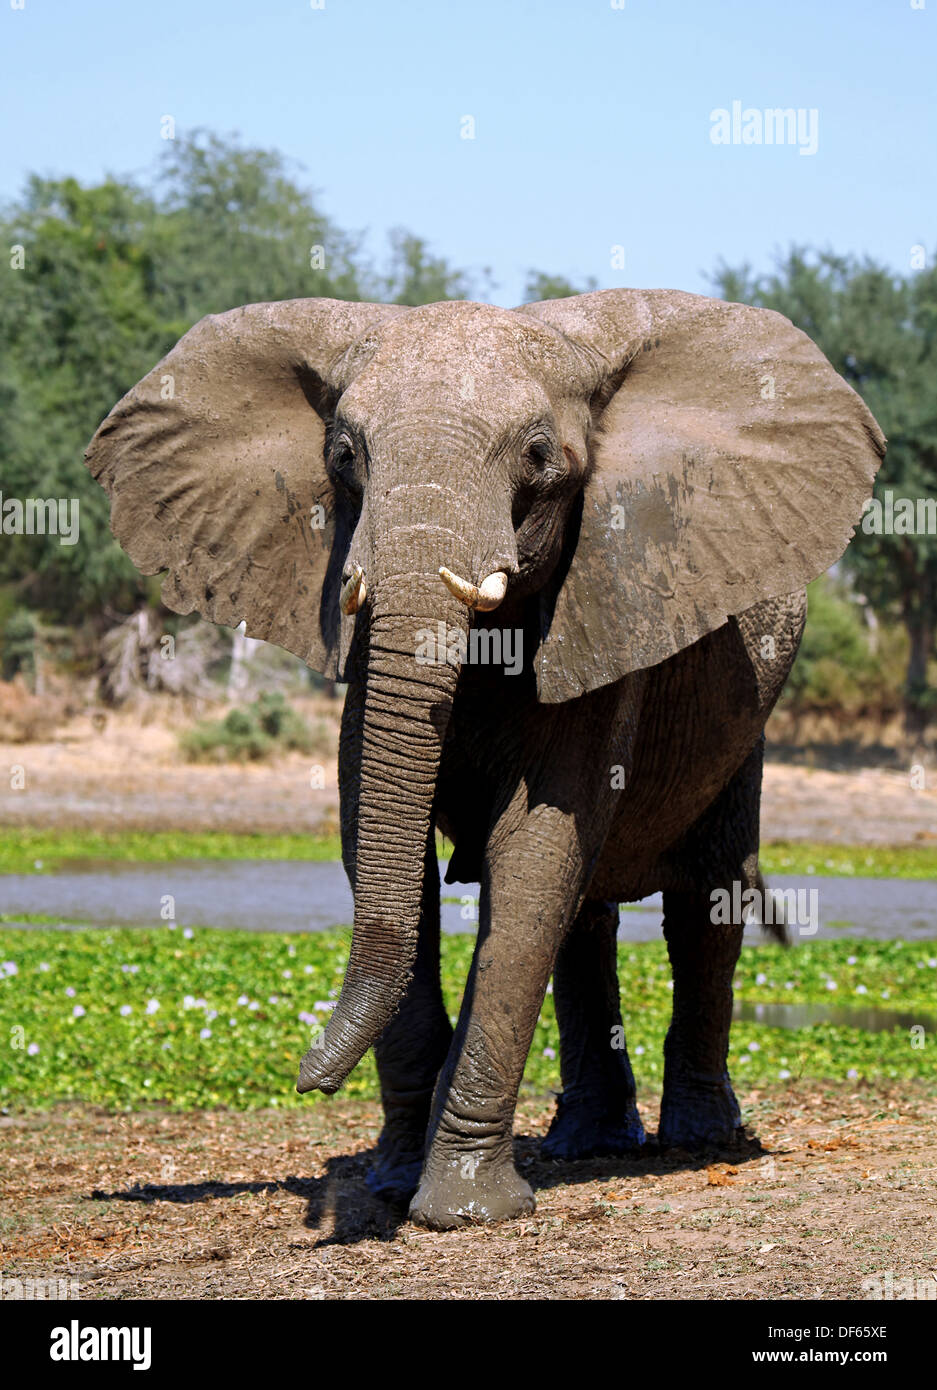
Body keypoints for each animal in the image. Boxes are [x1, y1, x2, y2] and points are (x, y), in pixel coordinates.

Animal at [84, 284, 878, 1228]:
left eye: (538, 457)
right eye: (343, 458)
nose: (307, 1079)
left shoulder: (601, 595)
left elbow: (532, 850)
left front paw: (461, 1207)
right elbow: (382, 841)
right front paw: (393, 1183)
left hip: (745, 713)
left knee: (703, 899)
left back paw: (699, 1141)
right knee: (586, 913)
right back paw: (588, 1144)